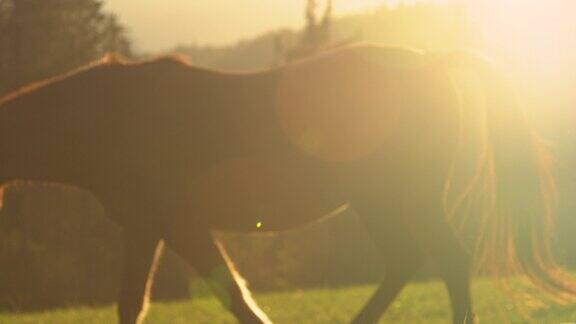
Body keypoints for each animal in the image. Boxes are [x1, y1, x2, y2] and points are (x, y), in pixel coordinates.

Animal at [0, 43, 572, 324]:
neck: (108, 115)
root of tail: (430, 62)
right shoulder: (145, 228)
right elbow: (130, 304)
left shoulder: (179, 223)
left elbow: (233, 295)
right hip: (389, 202)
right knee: (412, 262)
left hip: (399, 199)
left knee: (445, 261)